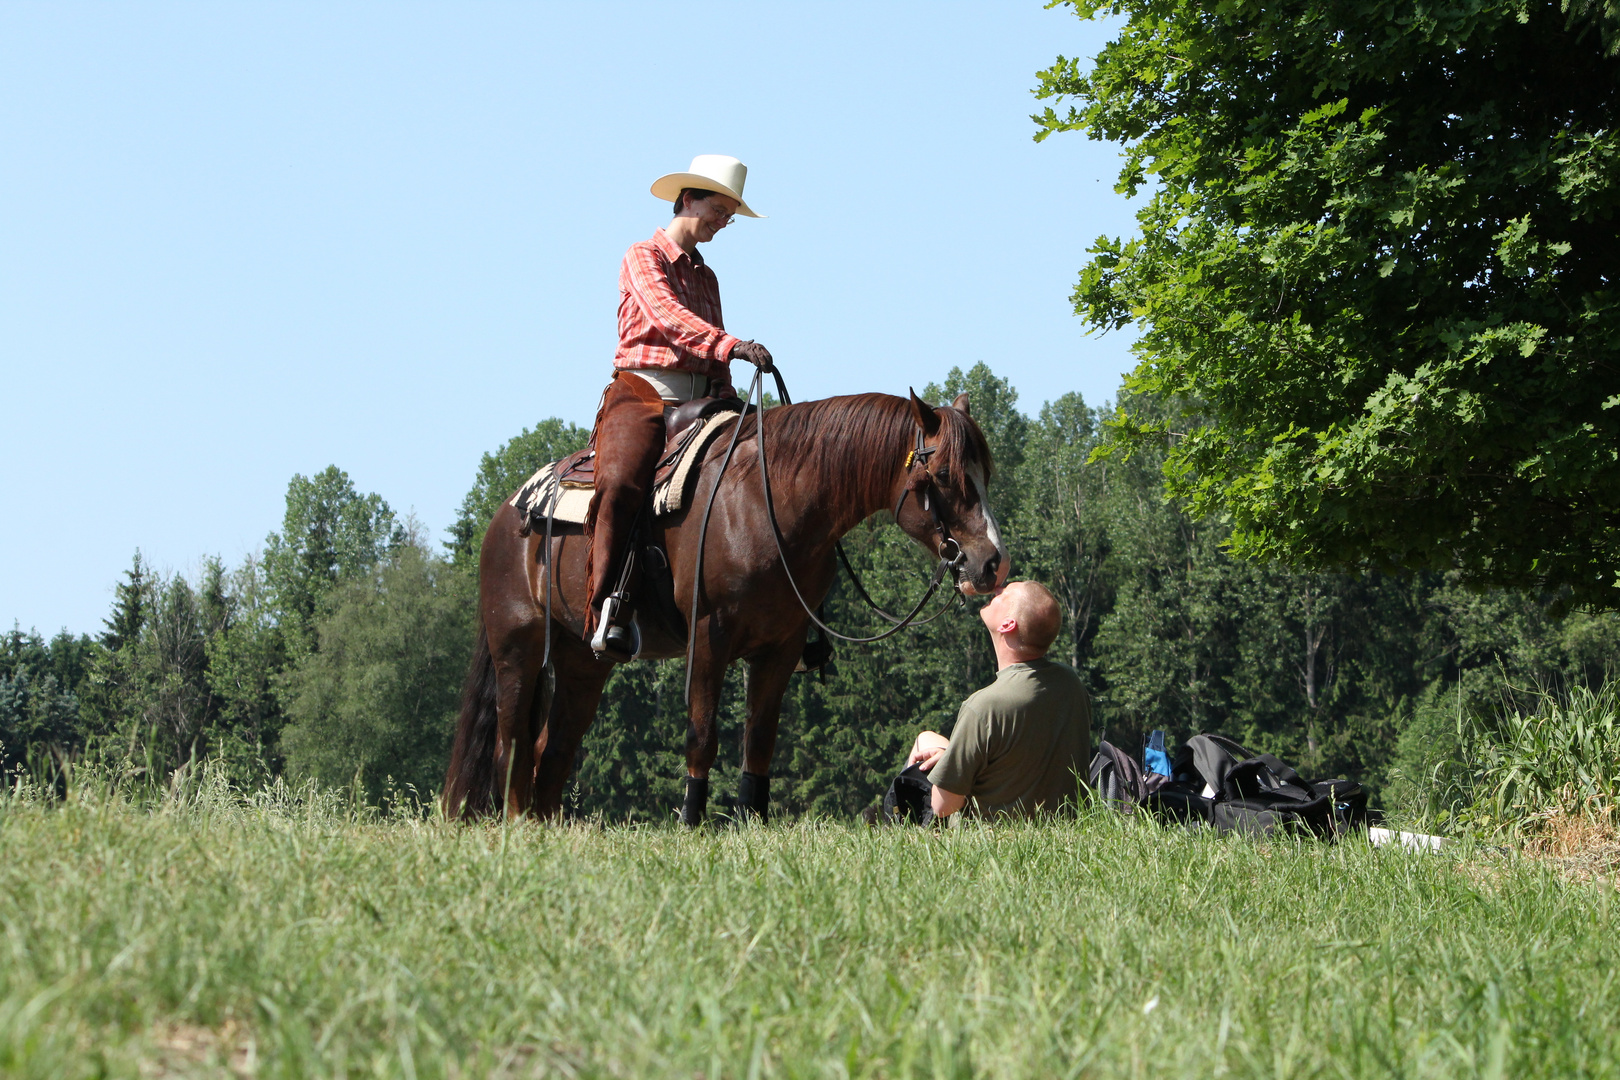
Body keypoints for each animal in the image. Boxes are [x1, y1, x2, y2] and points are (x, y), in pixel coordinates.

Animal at [437, 393, 1004, 822]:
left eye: (986, 473)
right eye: (945, 474)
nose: (992, 563)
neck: (767, 502)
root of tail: (507, 513)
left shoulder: (779, 649)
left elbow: (759, 741)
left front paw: (751, 819)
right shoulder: (709, 638)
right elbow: (702, 736)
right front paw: (692, 821)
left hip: (582, 662)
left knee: (551, 751)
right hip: (518, 648)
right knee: (512, 745)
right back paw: (517, 824)